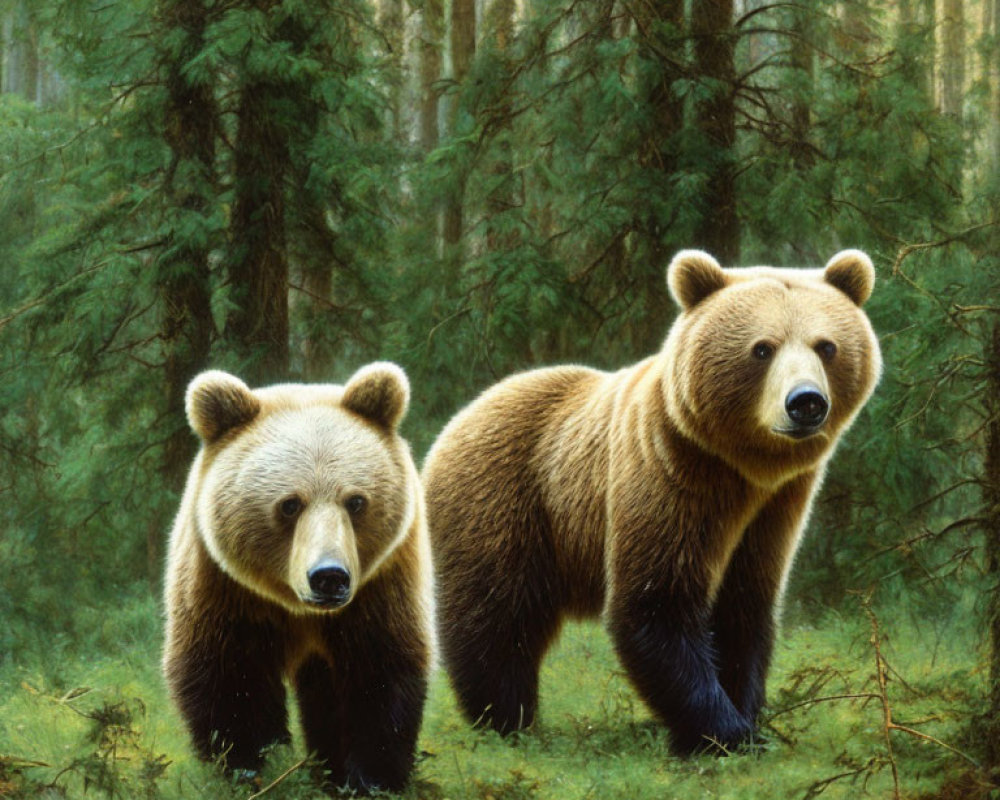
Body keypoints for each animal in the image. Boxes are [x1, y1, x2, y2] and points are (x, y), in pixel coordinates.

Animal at [163, 362, 434, 792]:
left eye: (356, 501)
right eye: (290, 505)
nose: (329, 577)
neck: (299, 609)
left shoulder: (383, 584)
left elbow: (379, 668)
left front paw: (370, 777)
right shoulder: (223, 588)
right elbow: (228, 676)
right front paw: (247, 766)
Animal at [422, 250, 884, 756]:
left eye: (826, 346)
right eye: (763, 348)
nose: (806, 402)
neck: (741, 469)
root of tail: (462, 414)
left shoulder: (775, 509)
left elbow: (743, 609)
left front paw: (745, 716)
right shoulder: (665, 472)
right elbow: (656, 604)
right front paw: (725, 733)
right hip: (504, 500)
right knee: (495, 616)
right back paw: (504, 716)